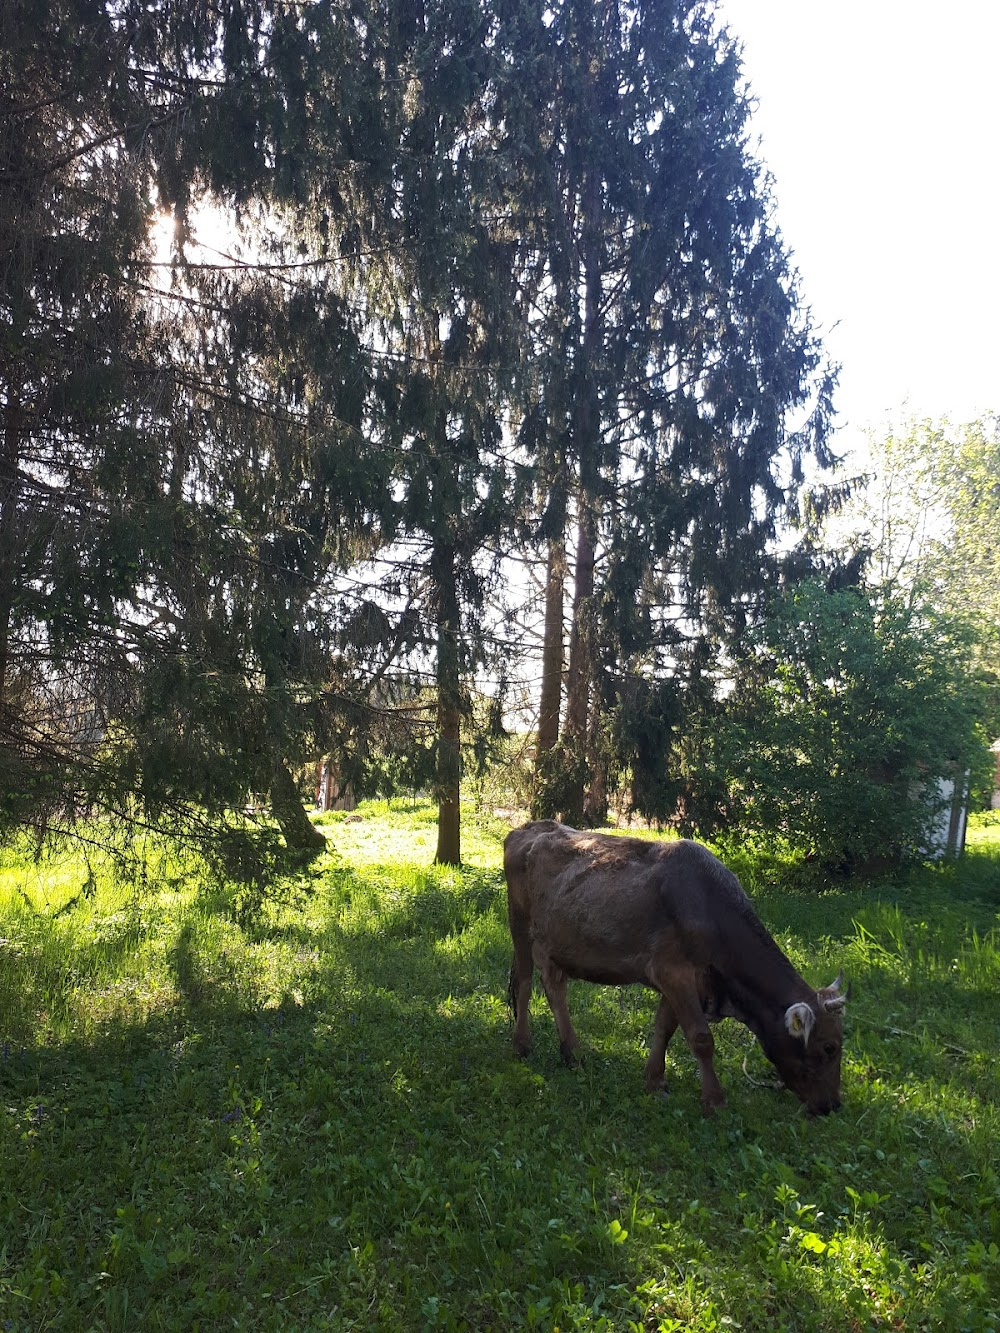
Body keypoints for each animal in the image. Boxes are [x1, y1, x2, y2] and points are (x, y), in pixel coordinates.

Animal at [504, 821, 848, 1114]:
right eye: (830, 1047)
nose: (832, 1105)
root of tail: (529, 827)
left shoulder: (683, 979)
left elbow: (664, 1028)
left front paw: (655, 1081)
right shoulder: (673, 971)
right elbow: (701, 1037)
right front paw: (714, 1100)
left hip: (556, 940)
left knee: (554, 983)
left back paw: (570, 1053)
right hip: (519, 923)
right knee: (525, 981)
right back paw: (527, 1045)